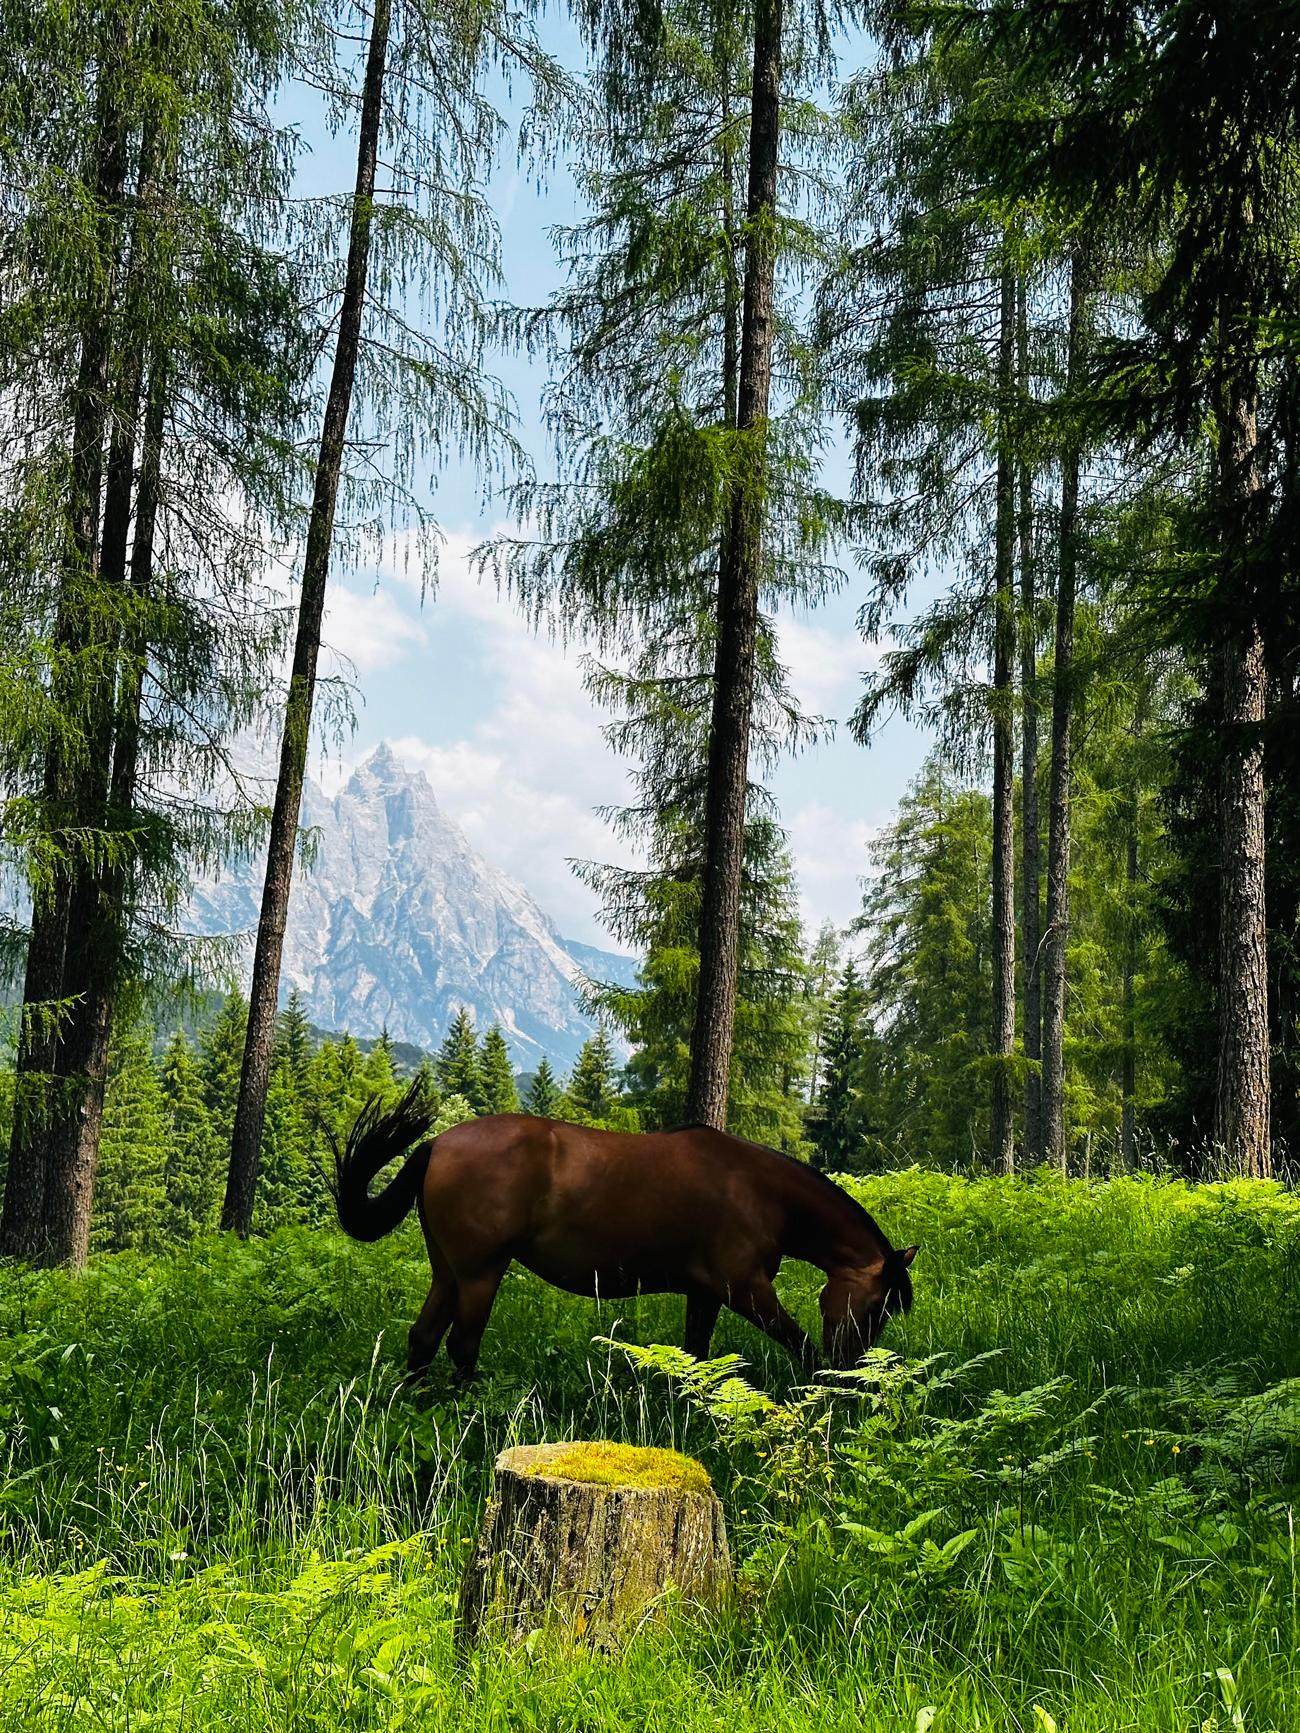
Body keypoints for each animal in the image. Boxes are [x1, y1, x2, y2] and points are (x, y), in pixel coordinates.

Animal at [341, 1081, 922, 1379]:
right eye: (877, 1306)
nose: (851, 1366)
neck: (760, 1191)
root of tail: (438, 1144)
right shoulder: (745, 1289)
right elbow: (798, 1343)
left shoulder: (705, 1293)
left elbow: (696, 1354)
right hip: (481, 1274)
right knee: (462, 1345)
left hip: (449, 1272)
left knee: (423, 1339)